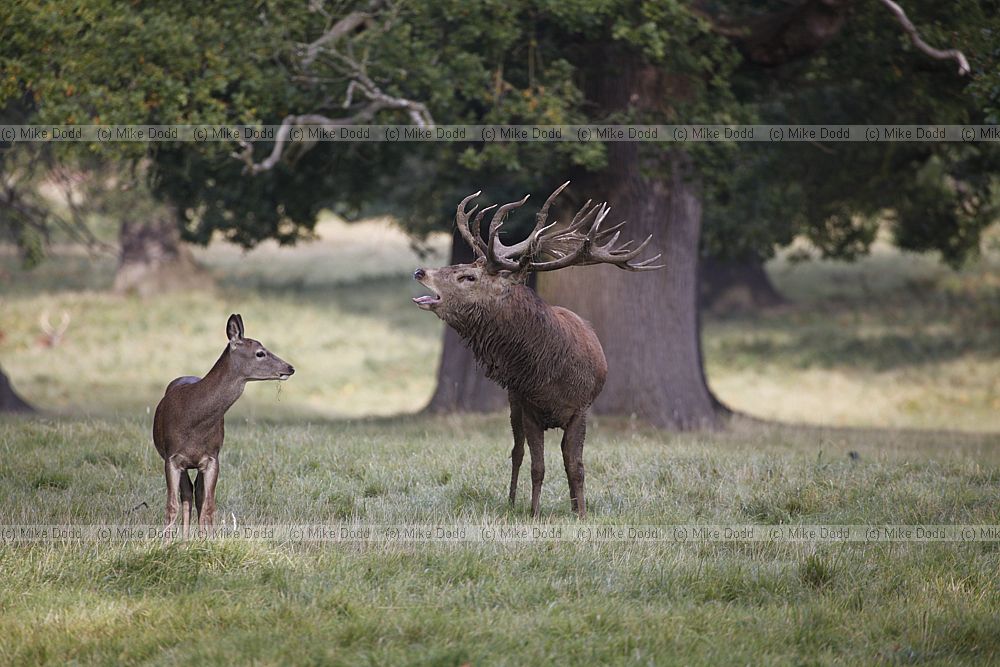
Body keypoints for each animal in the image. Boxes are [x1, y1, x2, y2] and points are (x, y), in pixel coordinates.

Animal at [153, 314, 294, 538]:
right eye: (260, 353)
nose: (290, 367)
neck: (193, 421)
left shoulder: (212, 458)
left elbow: (209, 506)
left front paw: (207, 542)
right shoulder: (171, 457)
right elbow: (171, 505)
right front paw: (167, 543)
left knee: (197, 494)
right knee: (187, 494)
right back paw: (184, 539)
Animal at [413, 181, 662, 518]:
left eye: (468, 276)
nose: (420, 272)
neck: (550, 377)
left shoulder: (581, 409)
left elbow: (576, 466)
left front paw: (581, 513)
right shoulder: (528, 406)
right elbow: (537, 466)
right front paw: (533, 513)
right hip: (513, 402)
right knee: (516, 451)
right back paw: (511, 501)